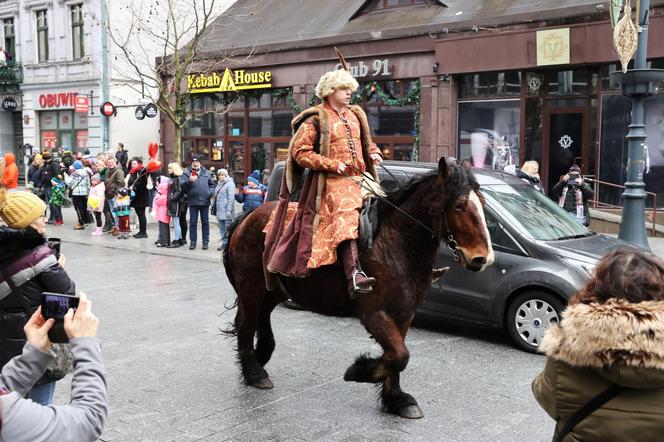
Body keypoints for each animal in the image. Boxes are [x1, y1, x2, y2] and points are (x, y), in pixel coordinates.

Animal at [223, 158, 492, 418]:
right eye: (459, 205)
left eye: (481, 203)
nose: (482, 258)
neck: (394, 245)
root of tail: (248, 217)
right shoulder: (373, 313)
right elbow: (399, 355)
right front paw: (360, 370)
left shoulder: (404, 313)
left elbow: (397, 355)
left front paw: (397, 400)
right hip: (251, 289)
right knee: (246, 325)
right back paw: (255, 373)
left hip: (273, 290)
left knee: (261, 317)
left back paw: (260, 356)